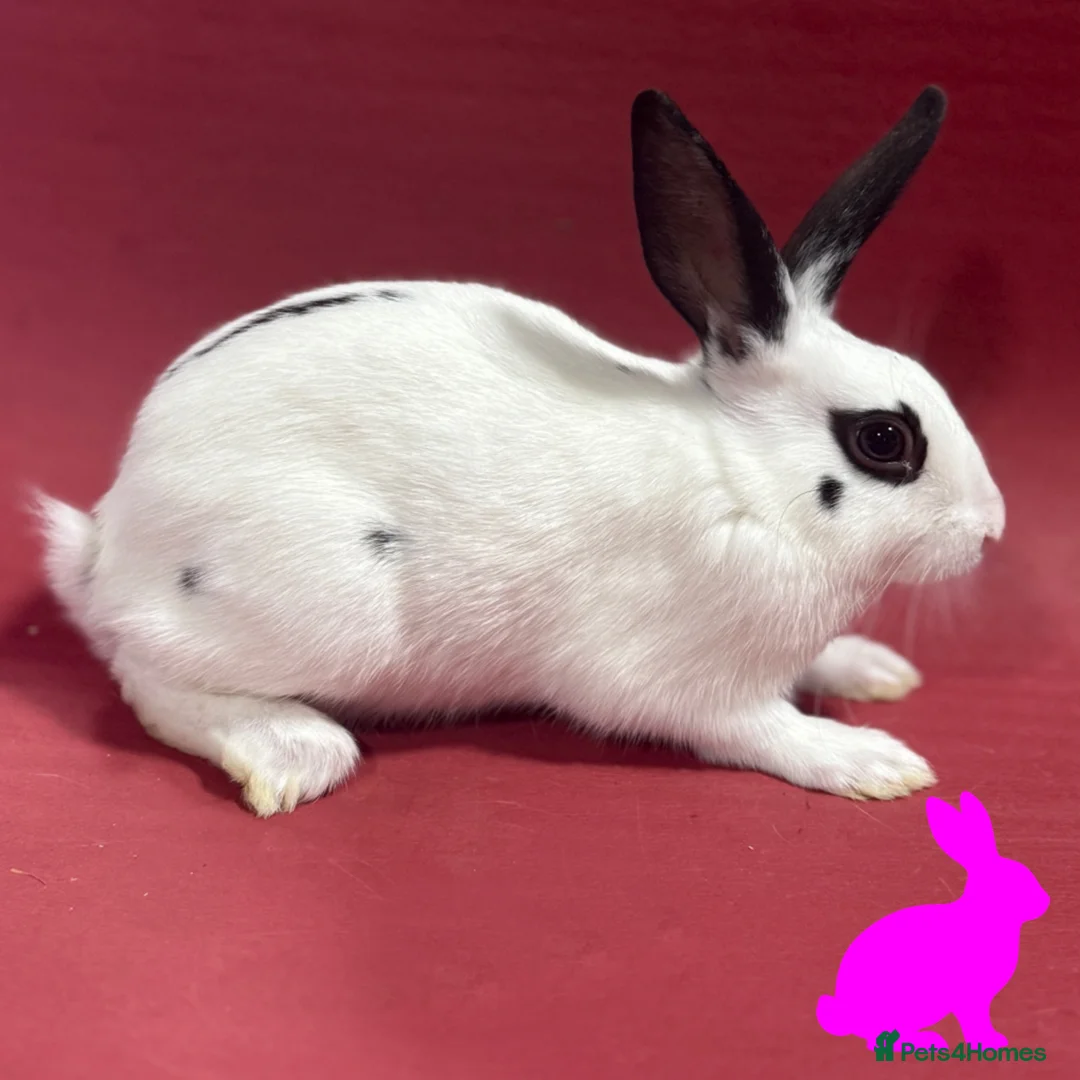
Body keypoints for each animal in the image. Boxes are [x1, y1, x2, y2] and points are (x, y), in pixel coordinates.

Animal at [37, 86, 1005, 817]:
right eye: (884, 440)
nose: (991, 530)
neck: (741, 479)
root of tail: (111, 539)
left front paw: (877, 671)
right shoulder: (676, 682)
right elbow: (757, 729)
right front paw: (873, 760)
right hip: (331, 603)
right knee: (143, 672)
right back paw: (292, 751)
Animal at [817, 792, 1050, 1052]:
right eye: (1015, 882)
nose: (1045, 901)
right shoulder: (969, 998)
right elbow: (974, 1020)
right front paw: (988, 1042)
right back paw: (926, 1041)